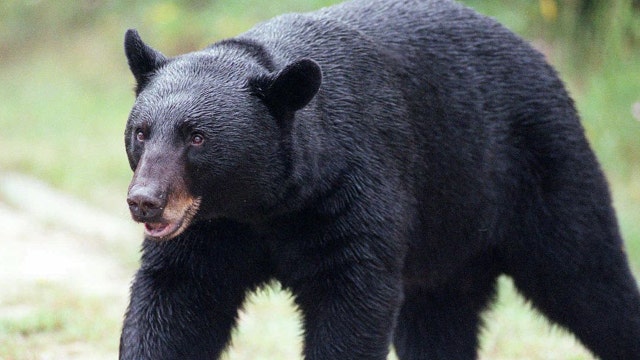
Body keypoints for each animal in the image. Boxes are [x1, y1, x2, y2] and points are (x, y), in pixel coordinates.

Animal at [120, 0, 640, 358]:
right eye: (141, 132)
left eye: (198, 138)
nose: (145, 201)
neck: (264, 205)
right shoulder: (208, 230)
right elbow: (174, 303)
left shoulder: (351, 190)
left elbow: (353, 299)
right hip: (446, 242)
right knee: (439, 320)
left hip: (541, 173)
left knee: (588, 278)